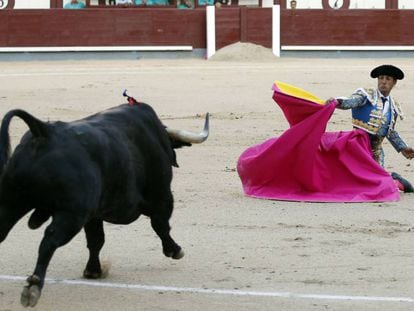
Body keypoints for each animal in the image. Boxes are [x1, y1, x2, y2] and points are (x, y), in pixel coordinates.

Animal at [0, 103, 209, 308]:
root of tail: (44, 132)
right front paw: (175, 250)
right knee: (49, 241)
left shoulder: (94, 215)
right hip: (71, 214)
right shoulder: (162, 194)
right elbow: (161, 225)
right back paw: (33, 287)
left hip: (12, 202)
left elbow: (96, 240)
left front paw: (93, 270)